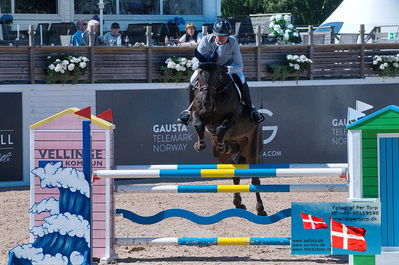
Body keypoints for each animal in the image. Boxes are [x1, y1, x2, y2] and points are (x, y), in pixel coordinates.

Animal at [190, 50, 268, 216]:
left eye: (219, 76)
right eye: (199, 75)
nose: (206, 103)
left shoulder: (232, 118)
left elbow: (221, 128)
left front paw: (219, 142)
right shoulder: (196, 113)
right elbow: (199, 123)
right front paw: (200, 144)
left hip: (253, 150)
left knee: (255, 179)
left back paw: (260, 208)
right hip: (223, 156)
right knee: (235, 173)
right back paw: (238, 203)